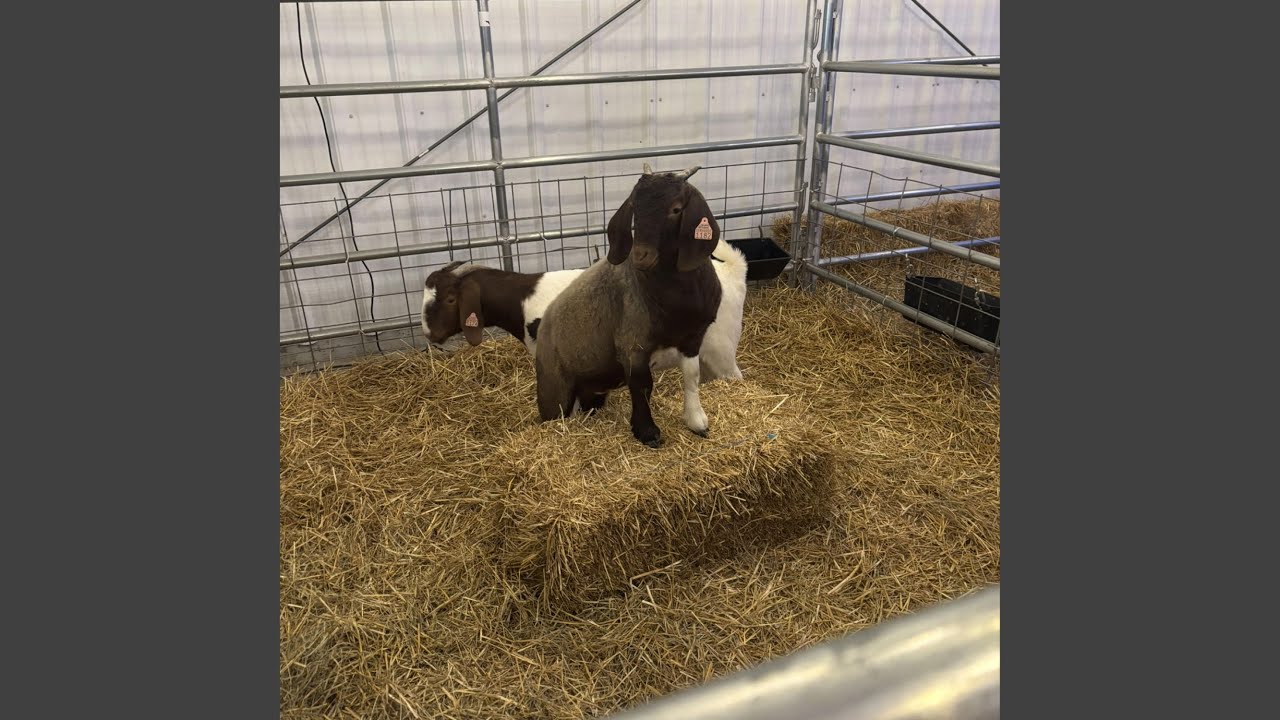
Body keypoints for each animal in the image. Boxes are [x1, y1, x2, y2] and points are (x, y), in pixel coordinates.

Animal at [533, 163, 726, 448]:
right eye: (634, 206)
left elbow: (692, 375)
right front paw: (647, 432)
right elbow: (642, 386)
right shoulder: (632, 344)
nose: (640, 255)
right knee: (555, 413)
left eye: (676, 208)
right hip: (554, 385)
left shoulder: (693, 337)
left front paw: (696, 421)